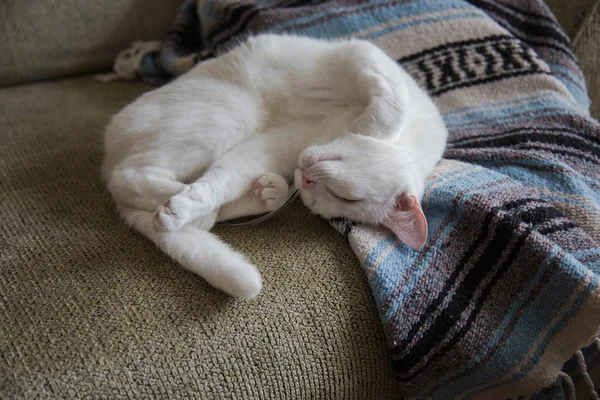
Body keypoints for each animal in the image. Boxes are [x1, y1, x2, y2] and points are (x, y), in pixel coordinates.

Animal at [101, 33, 448, 296]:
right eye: (347, 197)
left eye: (321, 202)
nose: (306, 179)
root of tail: (106, 158)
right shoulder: (364, 56)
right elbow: (390, 103)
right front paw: (373, 129)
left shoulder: (277, 144)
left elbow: (224, 179)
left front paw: (190, 207)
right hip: (234, 112)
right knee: (128, 176)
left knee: (192, 202)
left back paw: (257, 195)